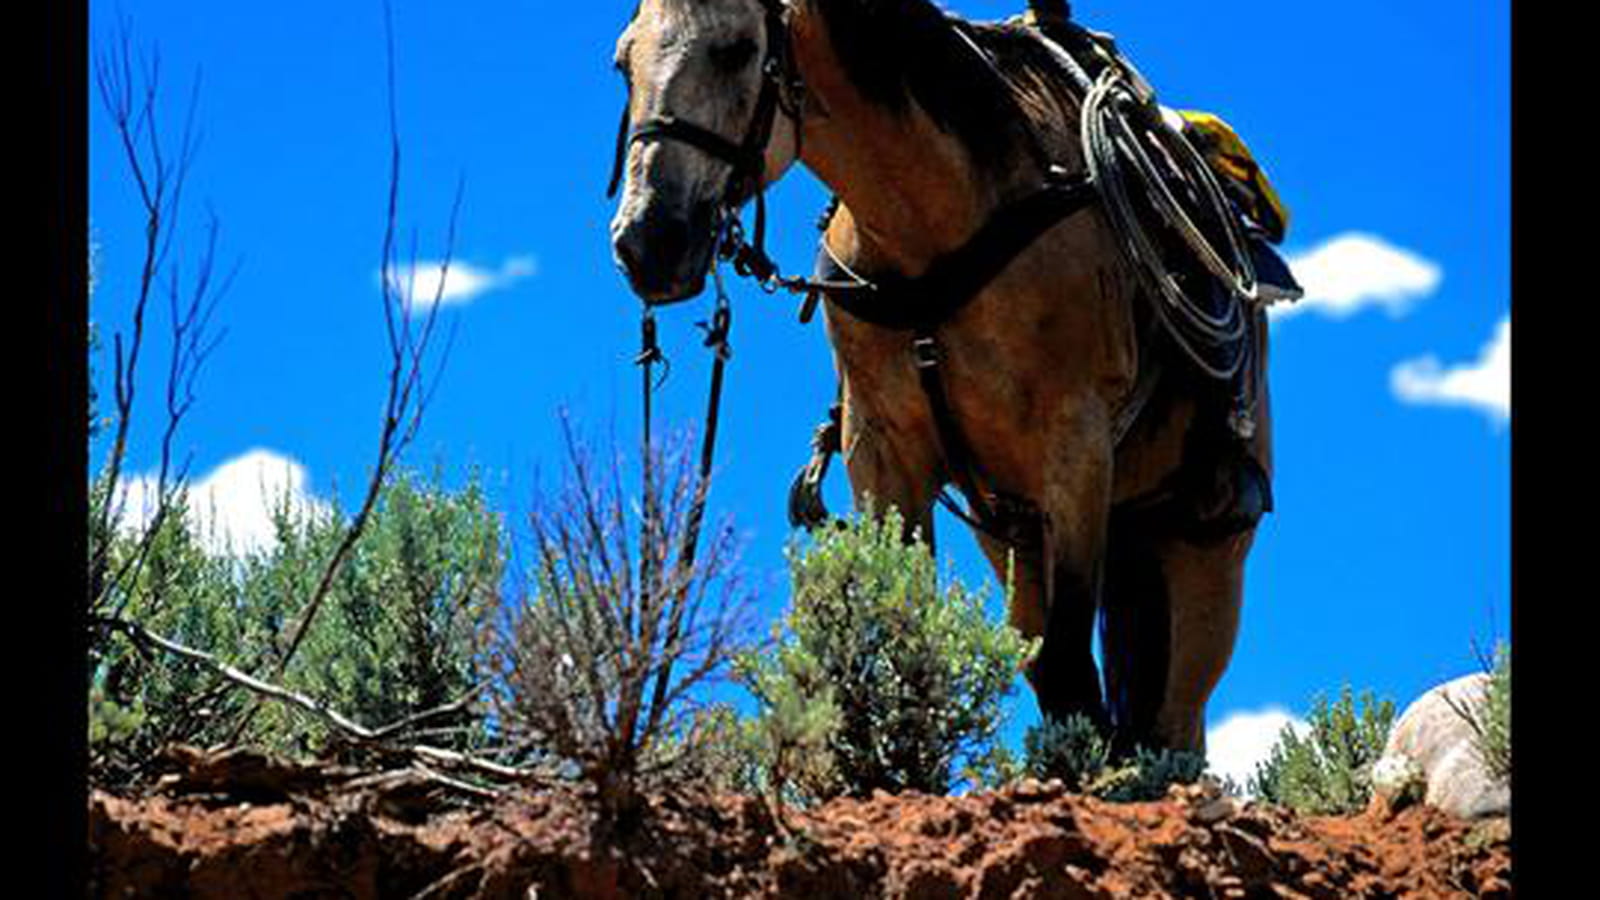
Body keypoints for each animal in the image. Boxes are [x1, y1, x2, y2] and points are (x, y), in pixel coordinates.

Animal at [607, 0, 1275, 756]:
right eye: (623, 62)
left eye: (736, 50)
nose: (646, 242)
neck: (933, 232)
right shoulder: (882, 454)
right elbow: (908, 639)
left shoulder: (1076, 445)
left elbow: (1071, 669)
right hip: (1016, 532)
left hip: (1203, 551)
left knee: (1172, 720)